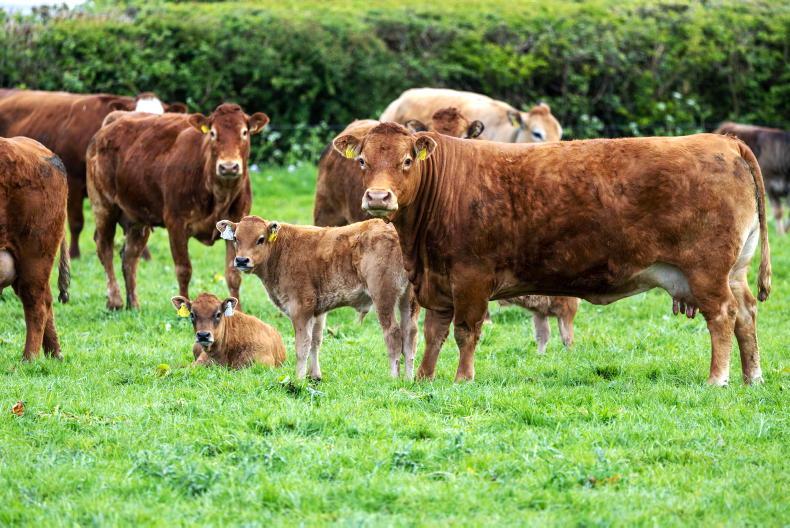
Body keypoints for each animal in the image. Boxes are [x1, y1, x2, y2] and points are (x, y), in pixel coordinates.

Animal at [87, 103, 268, 309]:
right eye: (213, 133)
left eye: (244, 132)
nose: (228, 167)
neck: (219, 194)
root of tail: (114, 119)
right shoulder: (176, 223)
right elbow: (184, 270)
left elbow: (233, 274)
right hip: (103, 206)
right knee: (105, 248)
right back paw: (115, 300)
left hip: (137, 218)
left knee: (130, 256)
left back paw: (133, 304)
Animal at [217, 216, 420, 380]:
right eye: (235, 238)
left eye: (261, 239)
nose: (241, 260)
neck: (282, 250)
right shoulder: (319, 310)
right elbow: (315, 341)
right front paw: (314, 376)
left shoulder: (301, 307)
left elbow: (302, 346)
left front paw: (298, 379)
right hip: (408, 300)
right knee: (410, 335)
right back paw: (409, 379)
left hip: (384, 296)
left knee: (393, 334)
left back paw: (393, 378)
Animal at [332, 123, 771, 386]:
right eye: (363, 160)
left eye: (407, 160)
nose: (377, 197)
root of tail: (723, 140)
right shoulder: (438, 282)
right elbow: (434, 333)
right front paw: (424, 378)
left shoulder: (471, 277)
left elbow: (465, 331)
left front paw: (462, 378)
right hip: (734, 270)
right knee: (746, 314)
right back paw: (752, 376)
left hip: (707, 271)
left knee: (723, 315)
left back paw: (718, 379)